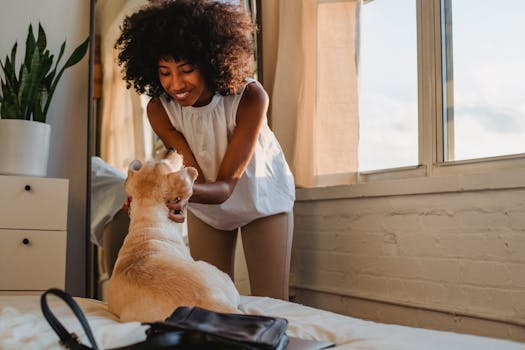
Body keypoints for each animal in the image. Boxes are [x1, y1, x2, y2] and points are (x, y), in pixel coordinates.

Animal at [107, 150, 242, 322]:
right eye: (167, 163)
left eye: (151, 161)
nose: (170, 148)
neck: (148, 221)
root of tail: (210, 301)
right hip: (220, 274)